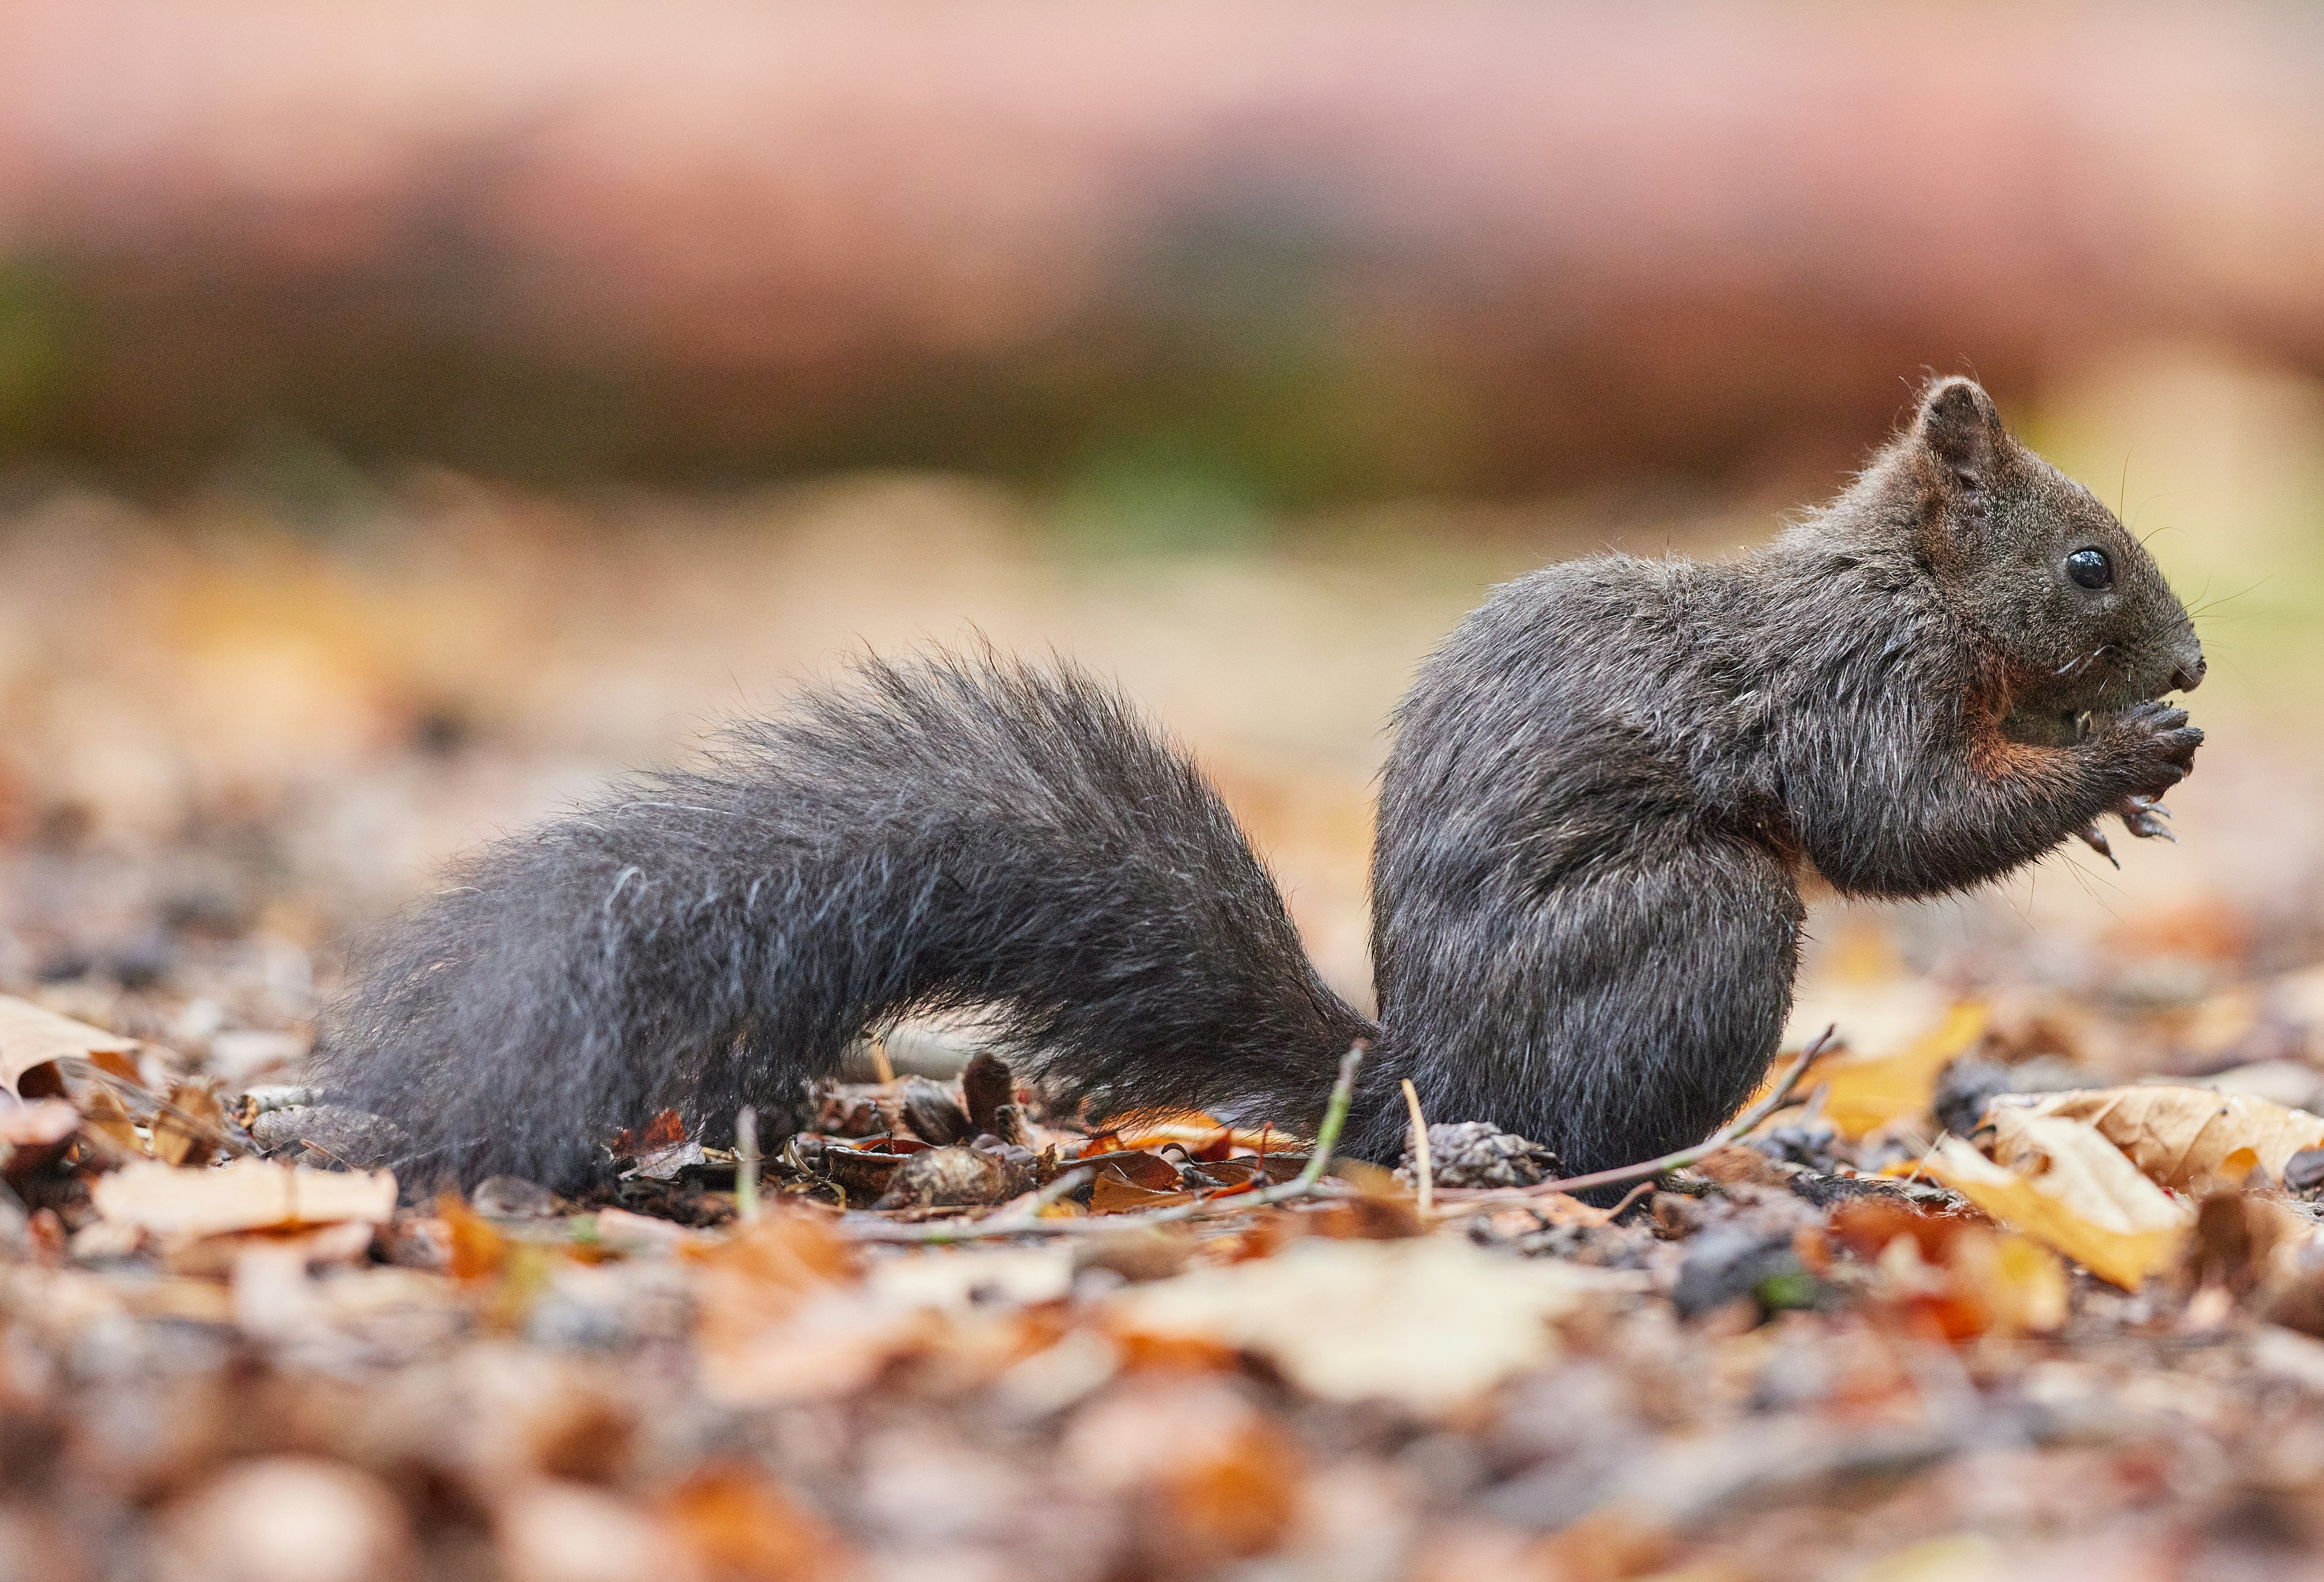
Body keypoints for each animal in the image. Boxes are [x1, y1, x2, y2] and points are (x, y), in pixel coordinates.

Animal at [318, 378, 2203, 1184]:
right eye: (2089, 563)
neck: (1911, 585)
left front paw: (2134, 783)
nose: (2191, 669)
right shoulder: (1846, 685)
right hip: (1697, 925)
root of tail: (1415, 1085)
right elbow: (1895, 823)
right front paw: (2112, 758)